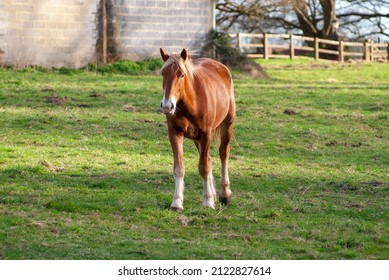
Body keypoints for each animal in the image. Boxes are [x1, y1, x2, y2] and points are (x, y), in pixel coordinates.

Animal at [159, 48, 235, 211]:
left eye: (182, 74)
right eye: (163, 73)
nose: (167, 106)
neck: (190, 103)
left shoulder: (205, 134)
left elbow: (204, 167)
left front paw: (207, 202)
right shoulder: (175, 134)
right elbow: (179, 168)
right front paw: (177, 202)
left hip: (227, 126)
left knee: (223, 154)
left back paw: (224, 194)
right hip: (196, 138)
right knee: (209, 158)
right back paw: (213, 194)